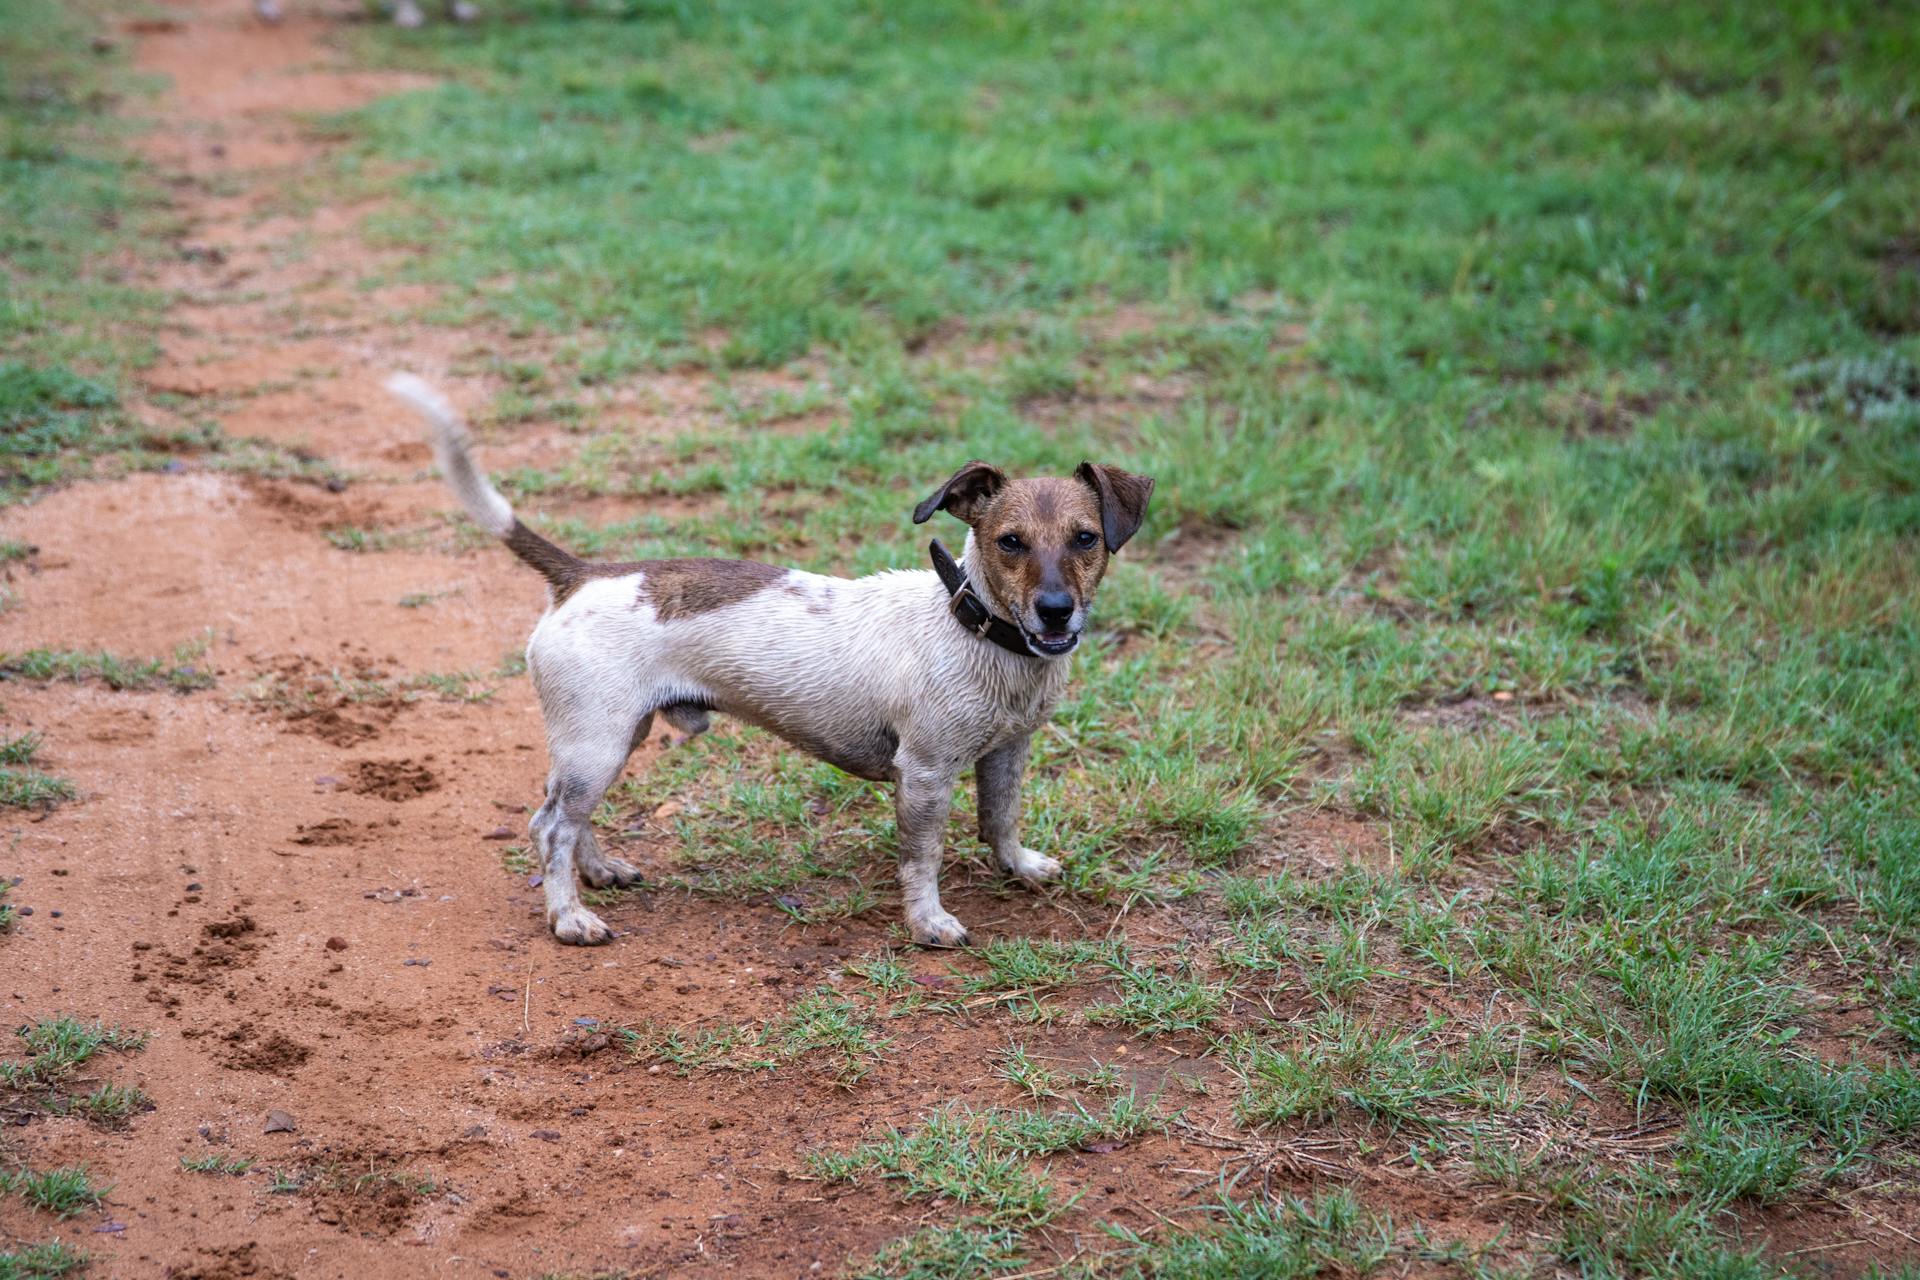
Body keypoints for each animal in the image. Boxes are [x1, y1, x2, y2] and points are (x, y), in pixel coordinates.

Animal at [382, 376, 1144, 948]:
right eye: (1009, 542)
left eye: (1085, 538)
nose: (1055, 611)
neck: (976, 629)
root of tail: (581, 574)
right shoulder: (925, 774)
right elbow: (921, 858)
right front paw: (929, 923)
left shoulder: (1008, 750)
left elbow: (1002, 819)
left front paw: (1020, 867)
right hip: (597, 743)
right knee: (549, 827)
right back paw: (569, 916)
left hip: (607, 739)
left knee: (565, 815)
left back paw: (597, 872)